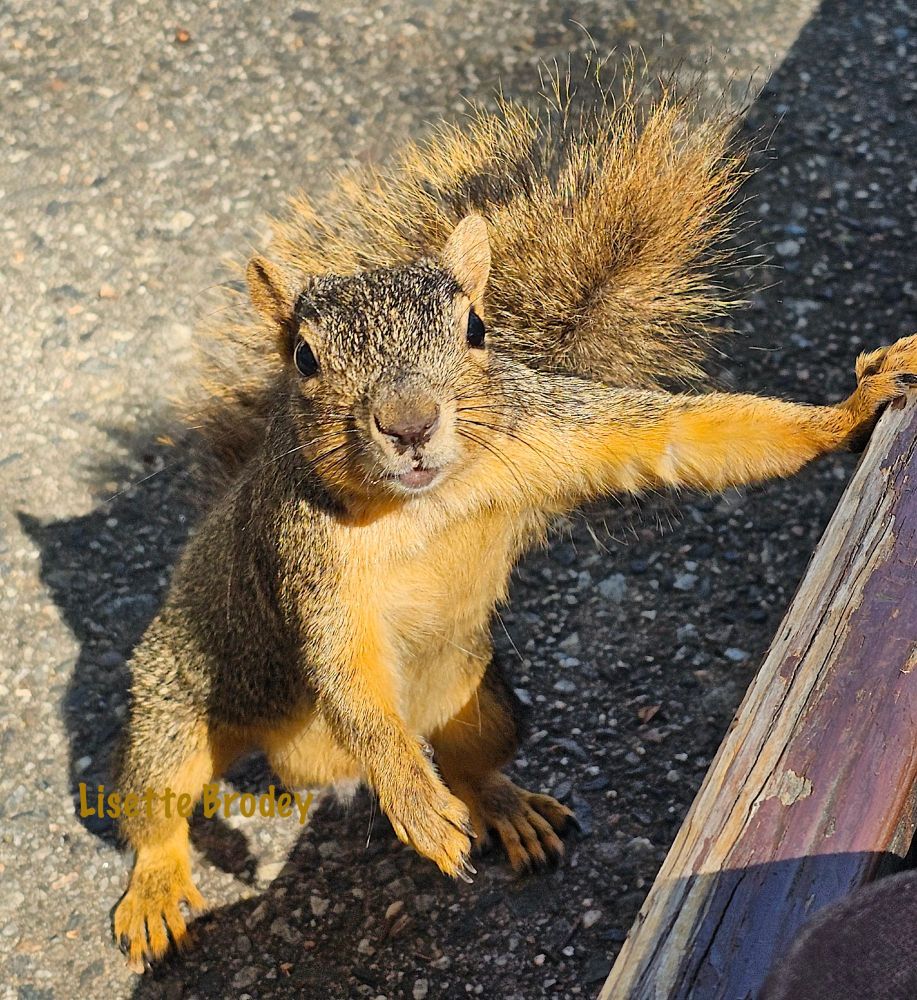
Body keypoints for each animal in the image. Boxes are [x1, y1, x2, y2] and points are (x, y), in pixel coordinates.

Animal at [111, 76, 917, 970]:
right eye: (305, 359)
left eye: (475, 328)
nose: (409, 423)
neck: (421, 502)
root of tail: (309, 766)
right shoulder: (306, 560)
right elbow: (346, 672)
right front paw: (412, 800)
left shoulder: (549, 429)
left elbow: (680, 438)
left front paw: (852, 407)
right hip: (178, 711)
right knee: (157, 807)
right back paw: (156, 888)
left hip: (483, 699)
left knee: (471, 765)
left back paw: (505, 807)